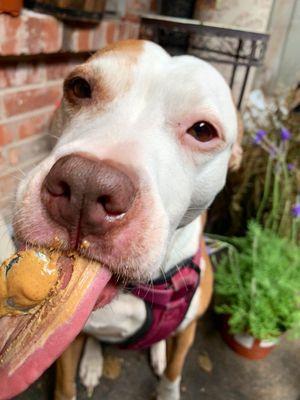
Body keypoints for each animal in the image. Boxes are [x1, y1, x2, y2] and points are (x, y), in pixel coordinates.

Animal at [12, 38, 240, 400]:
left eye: (203, 131)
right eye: (80, 87)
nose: (86, 186)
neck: (139, 290)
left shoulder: (188, 330)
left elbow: (173, 372)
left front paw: (167, 387)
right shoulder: (66, 336)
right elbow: (65, 384)